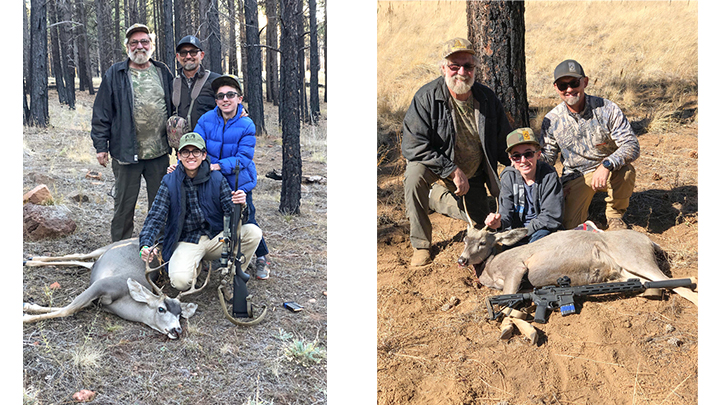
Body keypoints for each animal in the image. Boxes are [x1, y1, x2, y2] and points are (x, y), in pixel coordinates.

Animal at [23, 237, 198, 338]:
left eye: (180, 314)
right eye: (161, 309)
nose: (177, 330)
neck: (124, 298)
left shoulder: (95, 300)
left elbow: (71, 307)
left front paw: (28, 307)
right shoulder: (102, 285)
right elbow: (69, 309)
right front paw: (26, 316)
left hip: (97, 262)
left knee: (83, 261)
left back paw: (31, 260)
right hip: (108, 247)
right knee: (80, 255)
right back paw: (30, 260)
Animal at [458, 224, 700, 306]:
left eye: (482, 242)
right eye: (465, 239)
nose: (462, 260)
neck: (490, 269)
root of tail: (649, 241)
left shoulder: (516, 268)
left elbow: (509, 298)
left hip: (635, 257)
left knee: (677, 283)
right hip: (623, 271)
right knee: (651, 283)